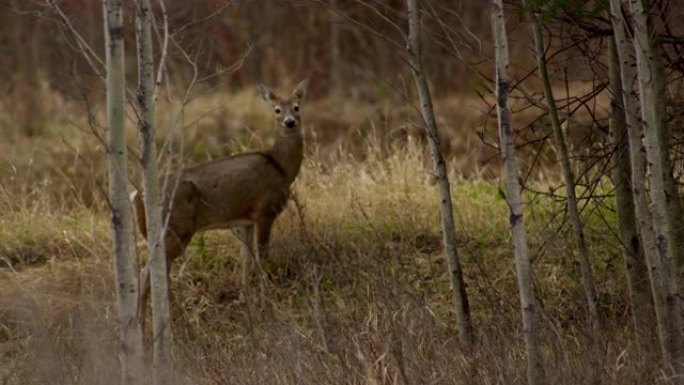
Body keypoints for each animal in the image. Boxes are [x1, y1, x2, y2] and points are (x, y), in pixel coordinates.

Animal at [129, 79, 310, 300]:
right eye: (277, 110)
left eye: (296, 107)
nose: (289, 122)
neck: (281, 167)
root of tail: (137, 196)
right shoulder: (265, 210)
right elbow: (262, 258)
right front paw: (267, 296)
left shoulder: (246, 219)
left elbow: (245, 259)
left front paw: (245, 296)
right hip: (173, 230)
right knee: (147, 275)